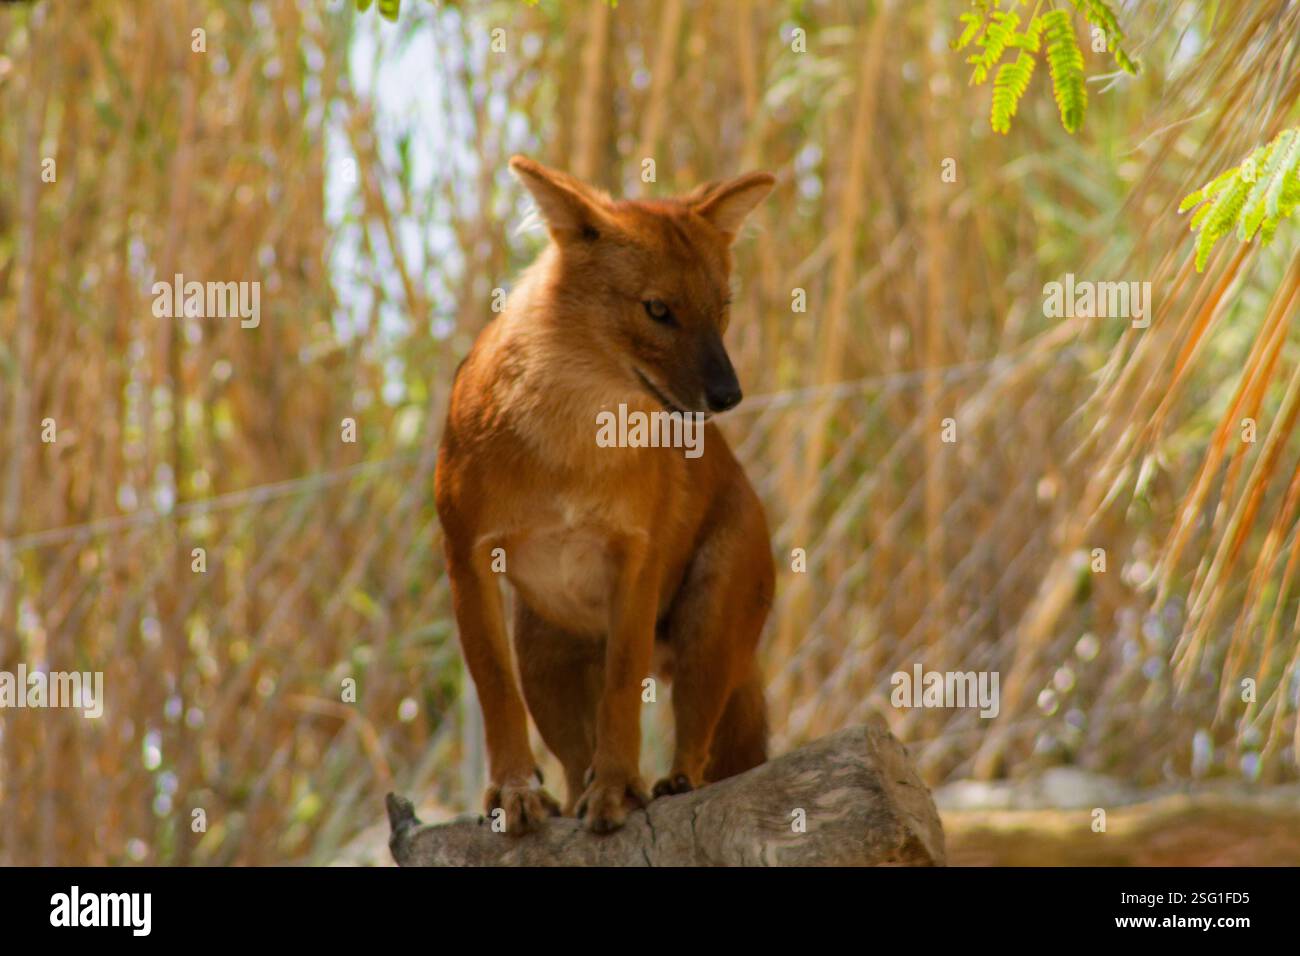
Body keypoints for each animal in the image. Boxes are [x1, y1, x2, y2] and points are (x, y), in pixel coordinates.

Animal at [434, 156, 777, 834]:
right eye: (658, 309)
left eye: (721, 307)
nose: (729, 396)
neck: (572, 439)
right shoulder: (467, 559)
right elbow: (493, 688)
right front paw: (513, 793)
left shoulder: (635, 558)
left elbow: (623, 687)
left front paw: (619, 789)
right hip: (546, 661)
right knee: (571, 763)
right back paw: (571, 802)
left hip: (708, 623)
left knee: (699, 744)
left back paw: (669, 784)